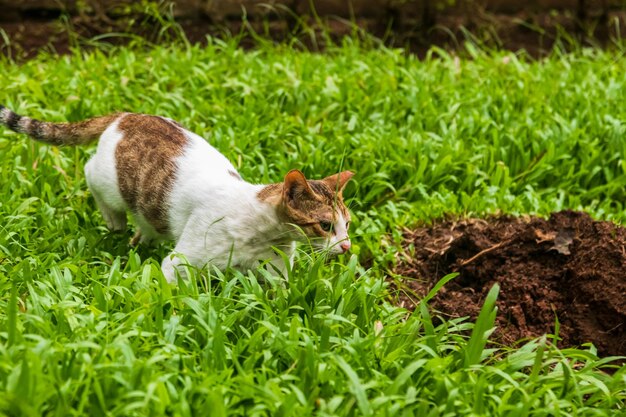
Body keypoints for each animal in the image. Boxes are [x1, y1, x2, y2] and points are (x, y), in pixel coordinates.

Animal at [0, 104, 352, 282]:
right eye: (325, 225)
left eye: (347, 225)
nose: (347, 246)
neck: (263, 233)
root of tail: (128, 115)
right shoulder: (182, 262)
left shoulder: (276, 271)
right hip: (109, 182)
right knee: (89, 173)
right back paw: (115, 222)